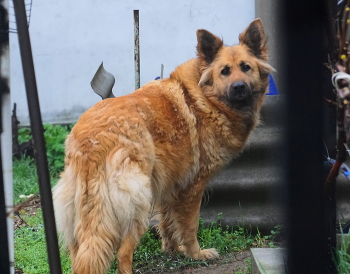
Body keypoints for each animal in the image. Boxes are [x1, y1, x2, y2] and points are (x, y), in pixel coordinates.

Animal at [53, 18, 274, 272]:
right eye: (224, 71)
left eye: (246, 67)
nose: (239, 87)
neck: (204, 99)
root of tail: (92, 140)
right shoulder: (192, 187)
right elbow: (189, 226)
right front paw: (195, 254)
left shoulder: (170, 185)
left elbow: (168, 223)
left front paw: (172, 250)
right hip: (137, 203)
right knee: (123, 254)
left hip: (80, 218)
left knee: (80, 256)